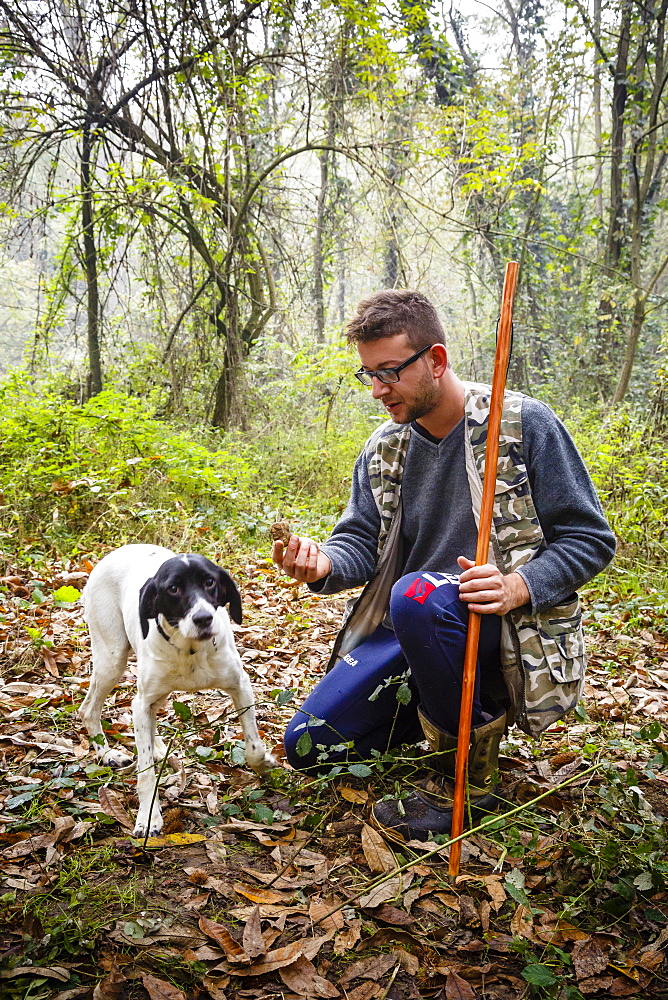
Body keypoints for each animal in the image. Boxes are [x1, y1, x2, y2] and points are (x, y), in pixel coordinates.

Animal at [78, 548, 276, 836]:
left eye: (210, 582)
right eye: (173, 588)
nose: (204, 619)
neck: (190, 648)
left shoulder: (241, 685)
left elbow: (253, 747)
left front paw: (264, 765)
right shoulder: (140, 704)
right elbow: (146, 772)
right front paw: (148, 816)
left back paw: (158, 747)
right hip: (111, 659)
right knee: (89, 709)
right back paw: (108, 754)